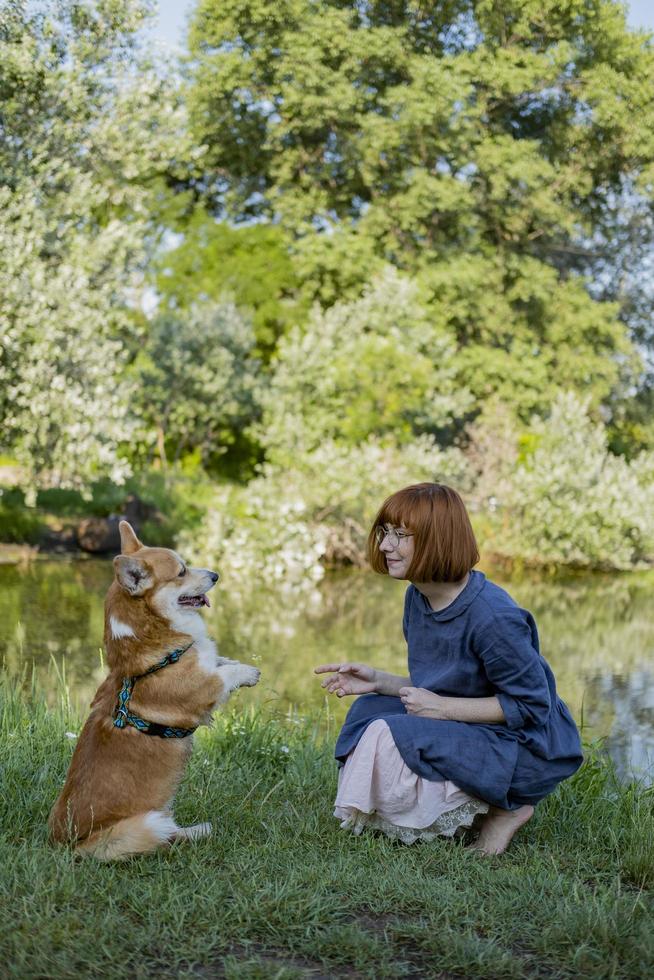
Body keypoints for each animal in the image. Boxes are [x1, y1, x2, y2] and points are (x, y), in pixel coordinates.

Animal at [48, 520, 262, 856]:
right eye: (182, 571)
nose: (216, 575)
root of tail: (67, 846)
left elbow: (220, 660)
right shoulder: (201, 688)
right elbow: (224, 675)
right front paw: (249, 672)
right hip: (147, 823)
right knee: (168, 837)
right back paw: (200, 830)